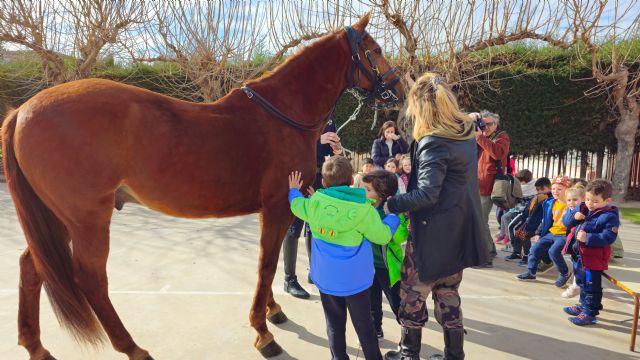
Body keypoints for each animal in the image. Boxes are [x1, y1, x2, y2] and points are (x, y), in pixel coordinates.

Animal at [1, 12, 400, 358]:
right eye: (377, 49)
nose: (397, 89)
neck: (283, 115)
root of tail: (22, 111)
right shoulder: (275, 207)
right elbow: (266, 264)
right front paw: (262, 332)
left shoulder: (272, 210)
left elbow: (268, 264)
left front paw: (272, 311)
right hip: (86, 219)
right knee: (90, 279)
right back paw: (133, 348)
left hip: (56, 219)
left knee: (31, 266)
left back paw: (36, 346)